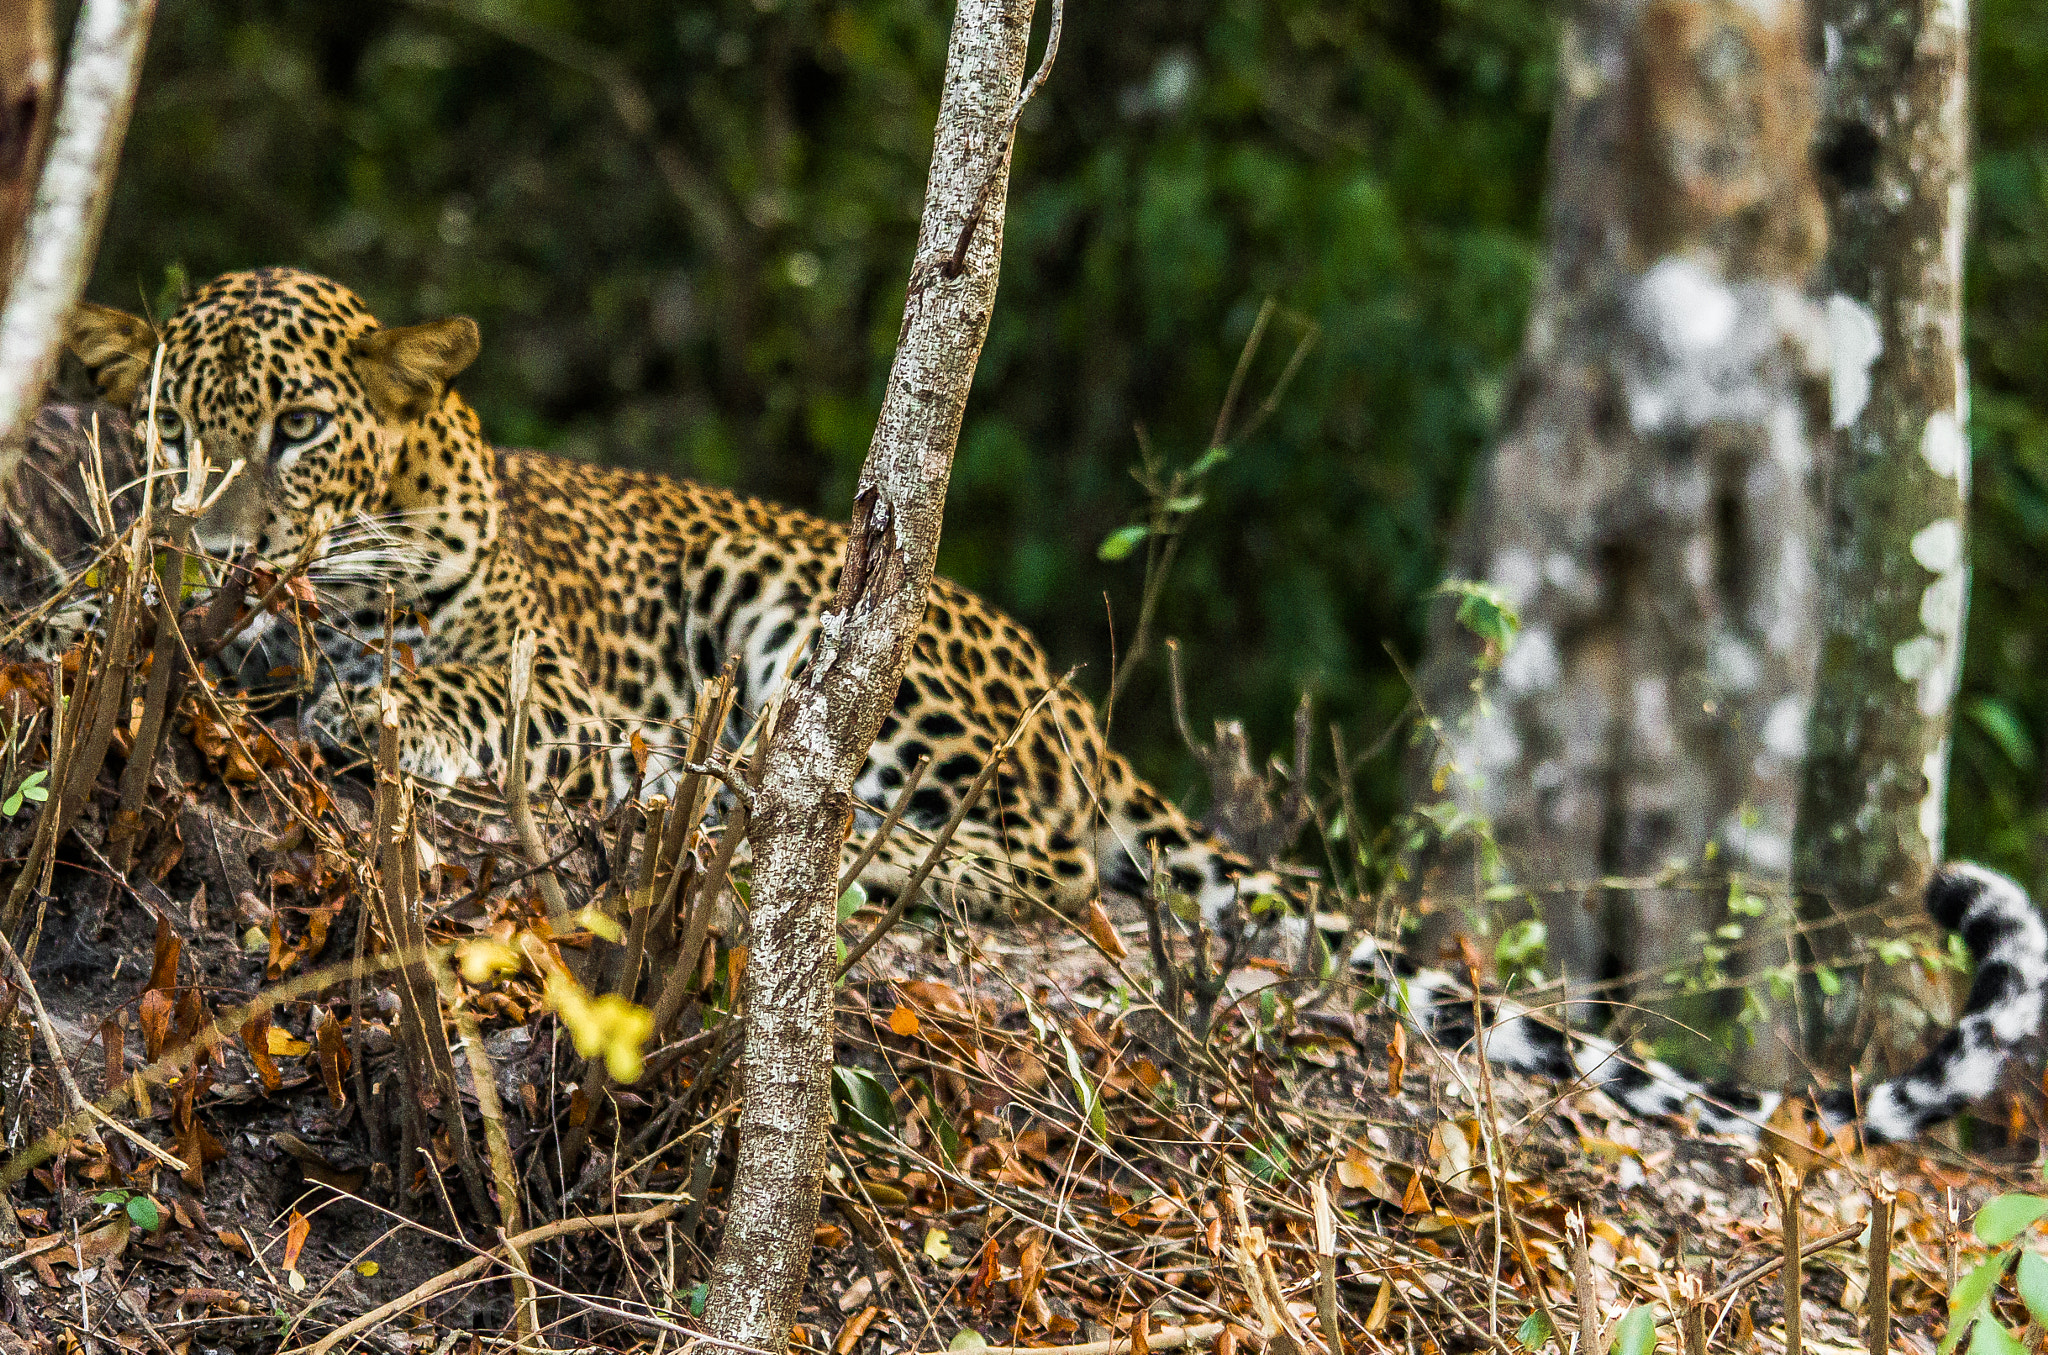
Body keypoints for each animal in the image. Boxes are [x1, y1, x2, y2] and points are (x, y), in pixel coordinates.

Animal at [65, 267, 2048, 1151]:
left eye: (299, 430)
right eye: (170, 426)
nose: (217, 542)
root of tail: (1092, 718)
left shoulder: (549, 682)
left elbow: (439, 687)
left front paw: (359, 694)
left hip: (829, 629)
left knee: (1037, 861)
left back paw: (843, 837)